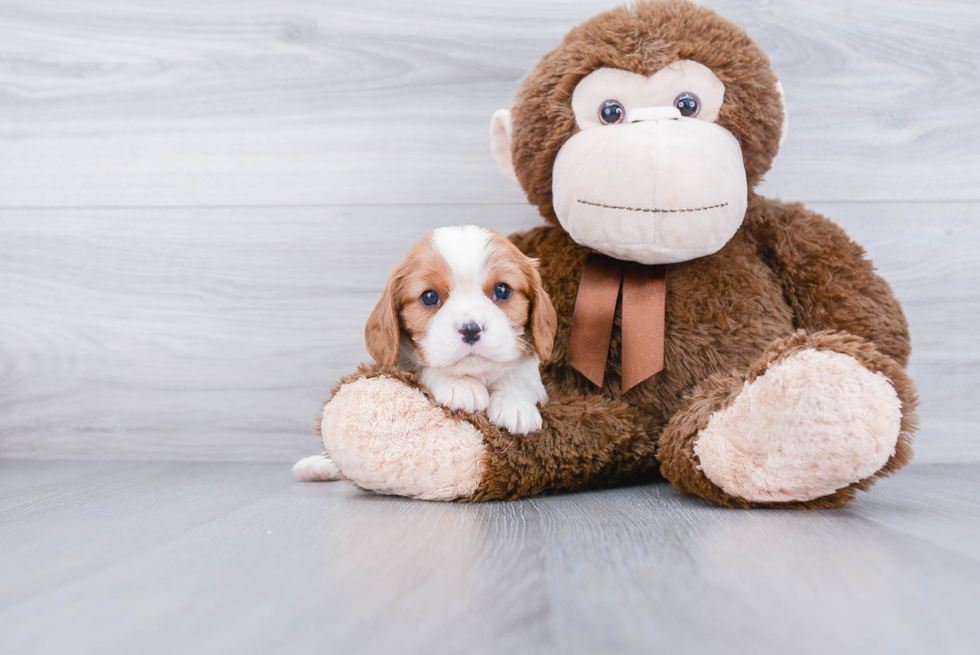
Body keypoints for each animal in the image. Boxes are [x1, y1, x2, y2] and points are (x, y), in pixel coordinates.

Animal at [366, 226, 556, 436]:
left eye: (502, 290)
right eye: (429, 296)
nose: (470, 331)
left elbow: (519, 378)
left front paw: (514, 402)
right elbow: (424, 368)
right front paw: (458, 384)